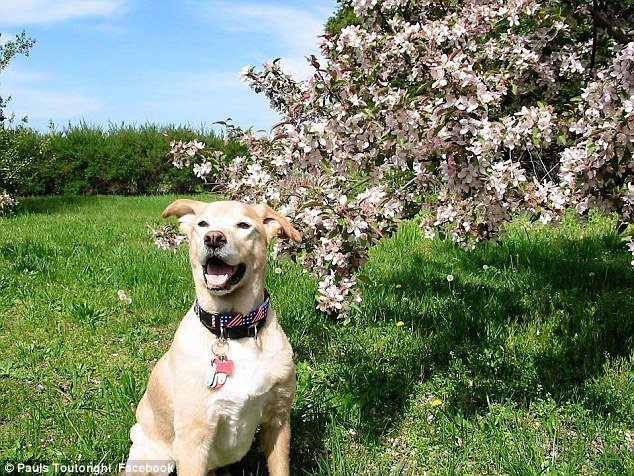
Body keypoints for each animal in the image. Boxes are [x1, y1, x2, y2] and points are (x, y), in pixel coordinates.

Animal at [124, 199, 302, 474]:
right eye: (202, 224)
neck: (231, 329)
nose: (214, 238)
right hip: (154, 458)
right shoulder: (194, 438)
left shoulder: (278, 420)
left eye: (244, 225)